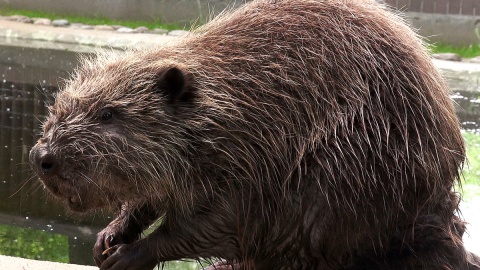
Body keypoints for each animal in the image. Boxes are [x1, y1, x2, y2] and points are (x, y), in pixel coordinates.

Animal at [29, 0, 480, 268]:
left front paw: (126, 255)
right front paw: (109, 236)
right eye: (63, 104)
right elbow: (152, 199)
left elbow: (217, 223)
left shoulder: (253, 161)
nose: (41, 157)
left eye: (109, 114)